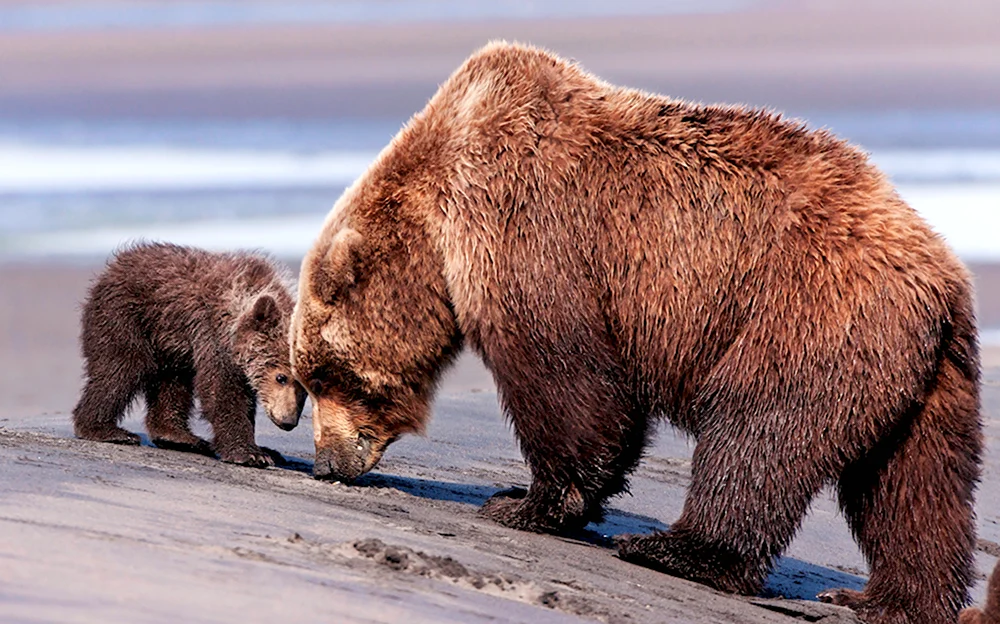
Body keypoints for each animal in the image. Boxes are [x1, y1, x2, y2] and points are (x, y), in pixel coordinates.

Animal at [290, 41, 984, 620]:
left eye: (323, 375)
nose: (327, 463)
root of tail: (943, 276)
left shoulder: (526, 222)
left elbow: (567, 377)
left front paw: (525, 502)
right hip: (927, 375)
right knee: (914, 488)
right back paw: (884, 597)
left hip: (806, 311)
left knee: (759, 429)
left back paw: (673, 548)